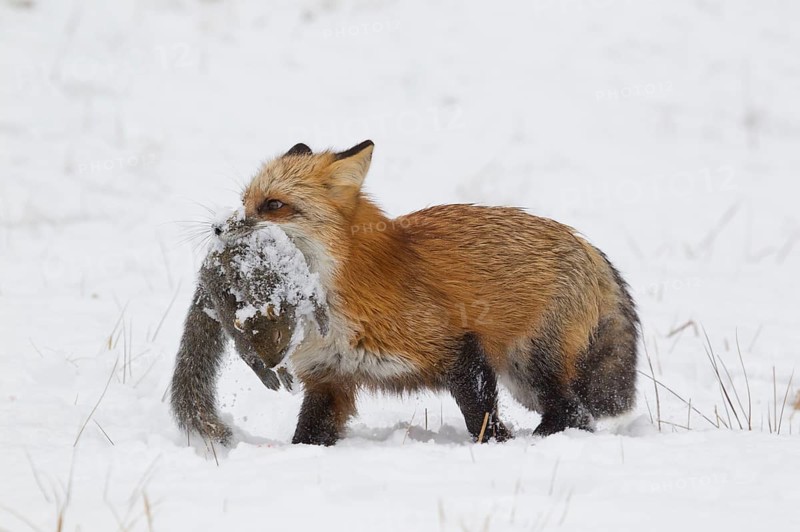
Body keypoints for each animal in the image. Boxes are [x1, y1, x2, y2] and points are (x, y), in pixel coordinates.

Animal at [208, 140, 639, 445]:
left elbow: (478, 414)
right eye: (244, 202)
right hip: (526, 379)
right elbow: (309, 434)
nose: (217, 228)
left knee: (575, 413)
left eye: (273, 205)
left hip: (531, 369)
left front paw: (497, 444)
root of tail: (585, 243)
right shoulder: (328, 377)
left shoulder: (457, 347)